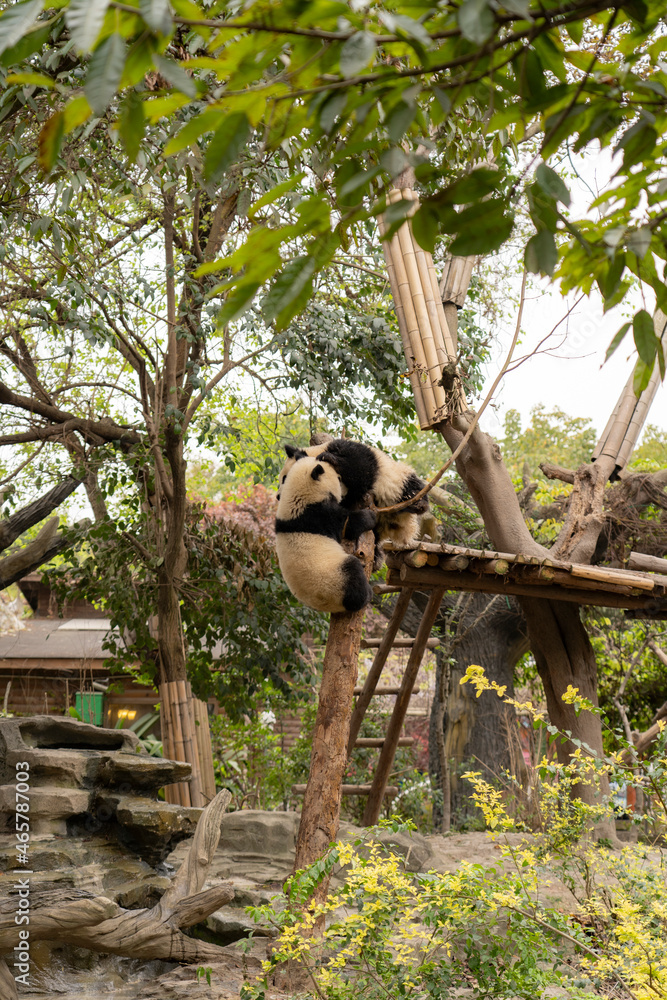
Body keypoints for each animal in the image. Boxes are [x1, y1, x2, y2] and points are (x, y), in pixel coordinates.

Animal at [275, 455, 377, 614]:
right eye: (338, 478)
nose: (346, 492)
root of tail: (327, 605)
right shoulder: (320, 516)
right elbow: (349, 525)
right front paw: (370, 517)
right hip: (334, 579)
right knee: (352, 572)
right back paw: (366, 594)